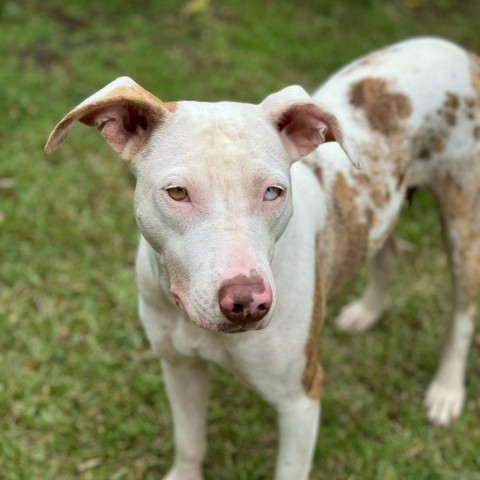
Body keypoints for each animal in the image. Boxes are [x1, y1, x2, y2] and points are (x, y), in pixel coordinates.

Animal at [46, 38, 480, 480]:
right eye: (178, 193)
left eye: (273, 191)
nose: (246, 302)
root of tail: (455, 50)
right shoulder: (180, 368)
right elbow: (190, 442)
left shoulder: (300, 401)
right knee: (387, 249)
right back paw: (367, 311)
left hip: (463, 227)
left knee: (462, 313)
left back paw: (446, 391)